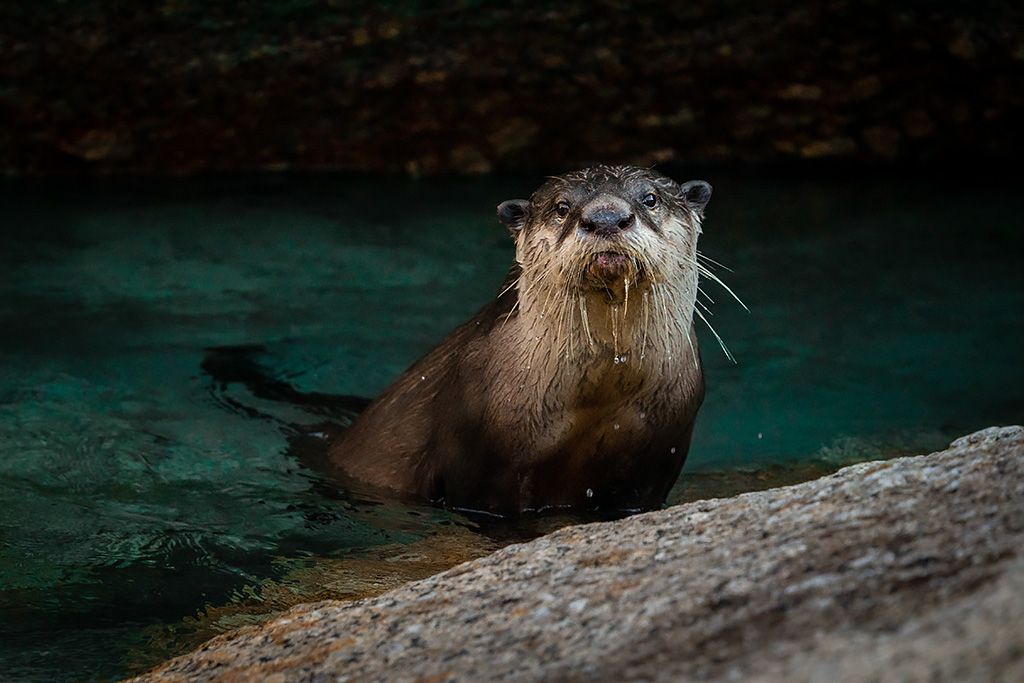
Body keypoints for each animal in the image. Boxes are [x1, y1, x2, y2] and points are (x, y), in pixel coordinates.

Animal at [327, 166, 712, 518]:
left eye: (650, 199)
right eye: (562, 207)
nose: (606, 218)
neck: (599, 395)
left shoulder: (656, 463)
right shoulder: (483, 467)